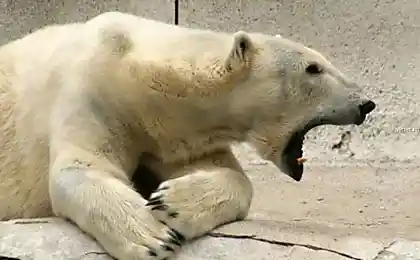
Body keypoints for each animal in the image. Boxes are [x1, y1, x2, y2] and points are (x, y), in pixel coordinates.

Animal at [0, 11, 374, 258]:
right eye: (313, 68)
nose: (365, 103)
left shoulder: (180, 136)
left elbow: (229, 175)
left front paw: (171, 204)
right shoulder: (92, 93)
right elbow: (80, 168)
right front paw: (152, 237)